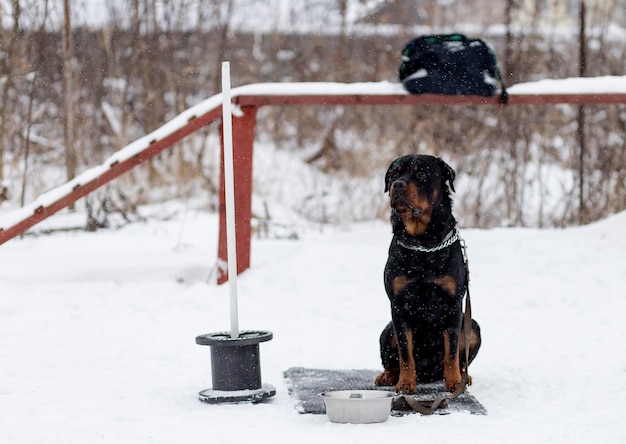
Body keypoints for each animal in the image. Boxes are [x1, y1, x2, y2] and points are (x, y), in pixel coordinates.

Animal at [372, 154, 480, 394]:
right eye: (394, 174)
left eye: (421, 174)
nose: (397, 185)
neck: (423, 243)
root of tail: (428, 375)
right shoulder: (399, 306)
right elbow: (405, 352)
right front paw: (405, 383)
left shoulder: (453, 304)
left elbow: (452, 349)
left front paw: (454, 382)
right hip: (387, 330)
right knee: (392, 359)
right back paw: (388, 376)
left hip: (473, 327)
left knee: (462, 357)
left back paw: (464, 377)